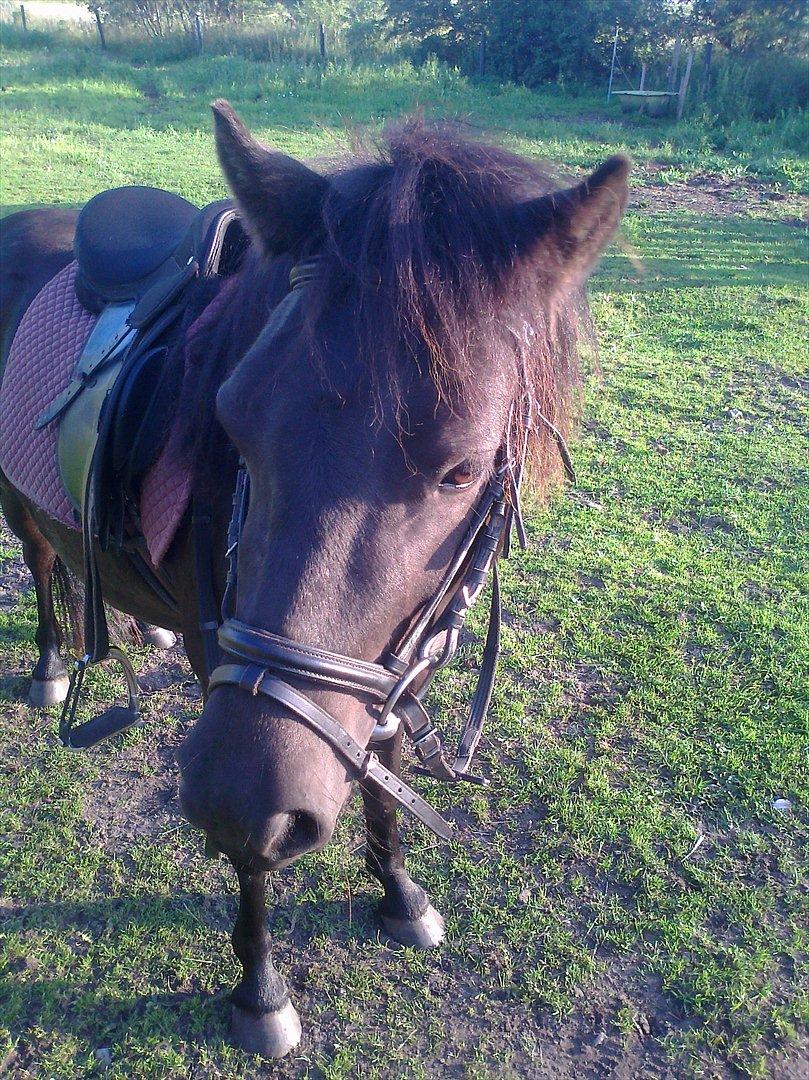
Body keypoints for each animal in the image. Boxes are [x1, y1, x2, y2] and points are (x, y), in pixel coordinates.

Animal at [0, 102, 628, 1058]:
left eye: (461, 469)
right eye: (230, 420)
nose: (232, 795)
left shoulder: (393, 659)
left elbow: (381, 772)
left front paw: (399, 894)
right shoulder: (227, 663)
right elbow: (256, 859)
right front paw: (260, 991)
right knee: (41, 560)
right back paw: (47, 666)